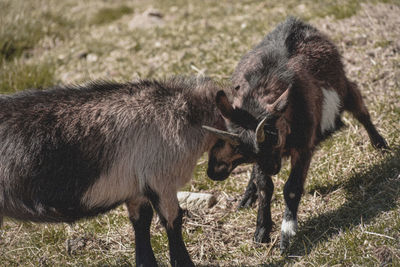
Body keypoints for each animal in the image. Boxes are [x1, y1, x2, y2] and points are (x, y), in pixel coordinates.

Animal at [0, 77, 230, 267]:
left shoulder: (137, 188)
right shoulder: (161, 179)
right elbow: (172, 220)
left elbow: (142, 221)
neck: (187, 114)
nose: (216, 174)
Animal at [203, 17, 388, 254]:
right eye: (242, 150)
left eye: (275, 135)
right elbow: (265, 186)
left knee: (360, 110)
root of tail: (294, 22)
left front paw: (286, 235)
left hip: (344, 88)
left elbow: (291, 188)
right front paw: (261, 230)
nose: (274, 168)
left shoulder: (303, 147)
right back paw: (247, 197)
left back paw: (380, 144)